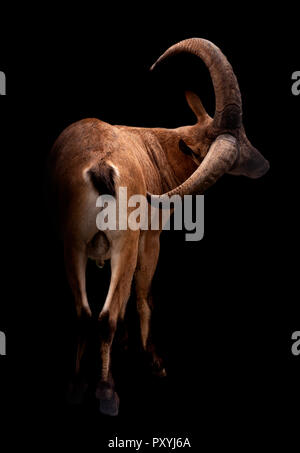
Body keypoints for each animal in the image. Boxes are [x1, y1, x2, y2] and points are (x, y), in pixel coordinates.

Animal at [49, 38, 270, 414]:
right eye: (237, 148)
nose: (263, 164)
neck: (158, 150)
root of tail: (100, 166)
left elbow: (122, 301)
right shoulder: (149, 240)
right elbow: (142, 297)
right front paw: (154, 362)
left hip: (73, 244)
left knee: (83, 313)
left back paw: (77, 386)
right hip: (122, 244)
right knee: (105, 316)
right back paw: (107, 391)